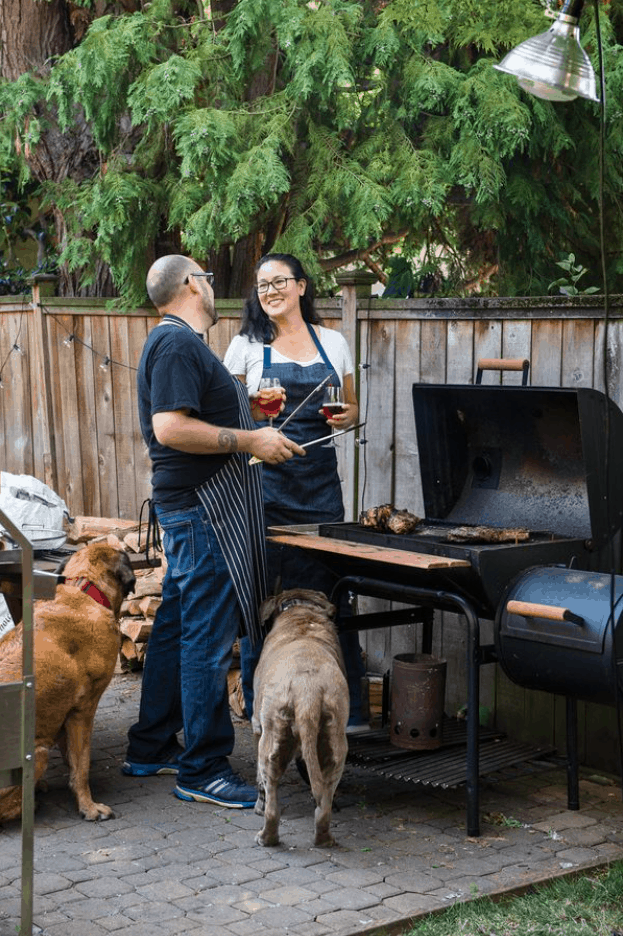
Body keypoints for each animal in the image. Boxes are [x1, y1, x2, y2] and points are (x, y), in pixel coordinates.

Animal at [0, 544, 136, 824]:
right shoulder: (83, 710)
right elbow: (81, 764)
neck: (83, 589)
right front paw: (89, 806)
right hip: (38, 750)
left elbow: (71, 756)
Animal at [254, 592, 352, 848]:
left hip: (270, 743)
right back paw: (324, 838)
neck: (301, 612)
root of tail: (308, 691)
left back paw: (266, 837)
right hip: (336, 749)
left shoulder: (257, 724)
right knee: (324, 806)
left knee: (271, 803)